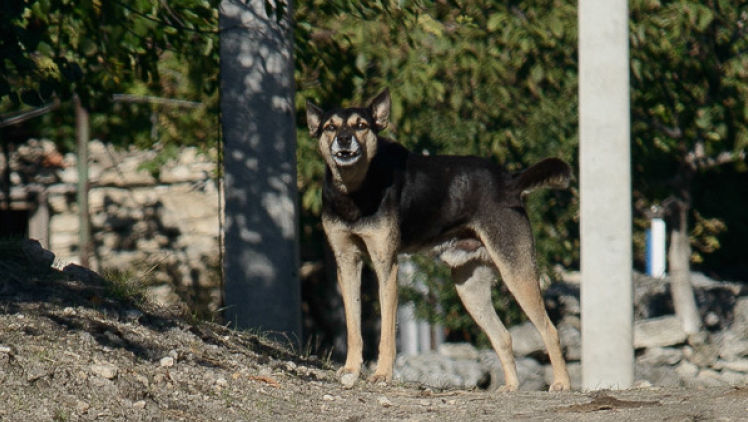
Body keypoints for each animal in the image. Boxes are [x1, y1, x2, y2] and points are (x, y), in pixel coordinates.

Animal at [306, 90, 568, 392]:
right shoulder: (347, 262)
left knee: (549, 329)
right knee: (503, 336)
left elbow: (386, 332)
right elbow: (353, 324)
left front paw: (382, 374)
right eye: (330, 127)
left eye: (361, 125)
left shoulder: (386, 265)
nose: (344, 140)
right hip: (470, 287)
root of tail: (509, 181)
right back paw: (511, 387)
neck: (354, 191)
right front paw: (351, 369)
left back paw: (562, 383)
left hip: (517, 271)